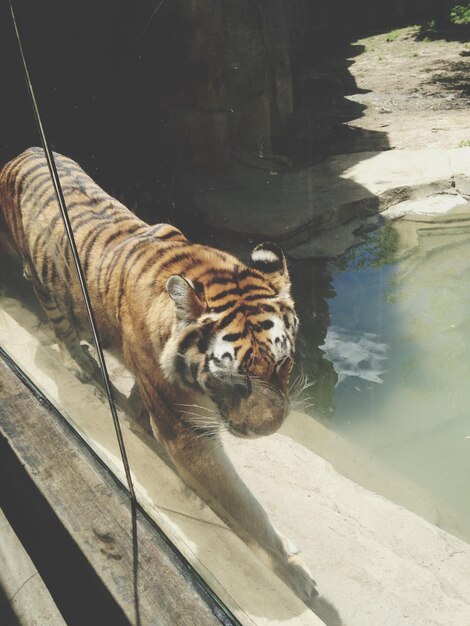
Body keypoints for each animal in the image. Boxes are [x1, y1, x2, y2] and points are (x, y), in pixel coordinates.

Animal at [0, 146, 320, 604]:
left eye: (282, 363)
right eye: (230, 378)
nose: (268, 430)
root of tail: (25, 151)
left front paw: (136, 414)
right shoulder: (188, 433)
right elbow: (245, 508)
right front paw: (295, 574)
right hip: (45, 283)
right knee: (60, 325)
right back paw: (79, 364)